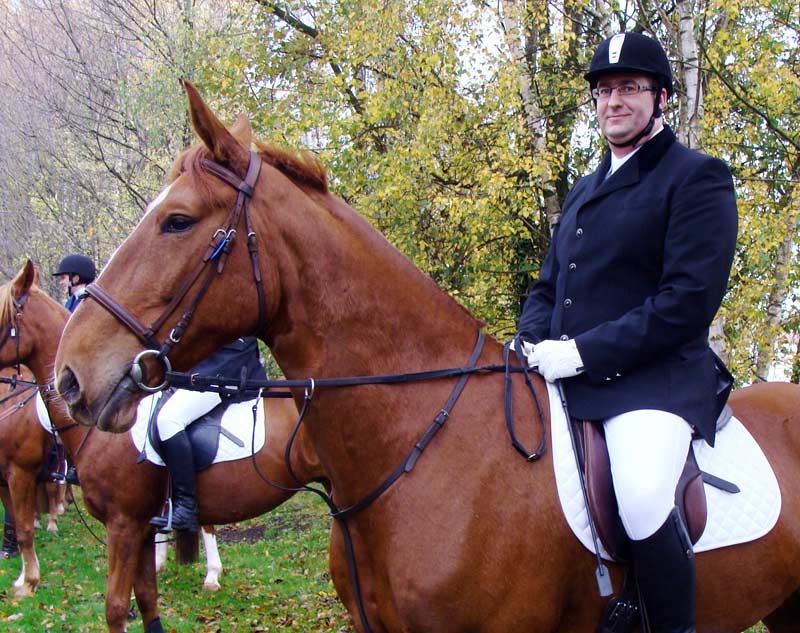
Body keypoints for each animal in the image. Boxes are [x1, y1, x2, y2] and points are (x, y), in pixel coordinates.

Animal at [0, 261, 326, 633]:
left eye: (1, 318)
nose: (70, 383)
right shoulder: (140, 527)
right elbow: (146, 598)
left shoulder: (121, 524)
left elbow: (113, 606)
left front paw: (27, 582)